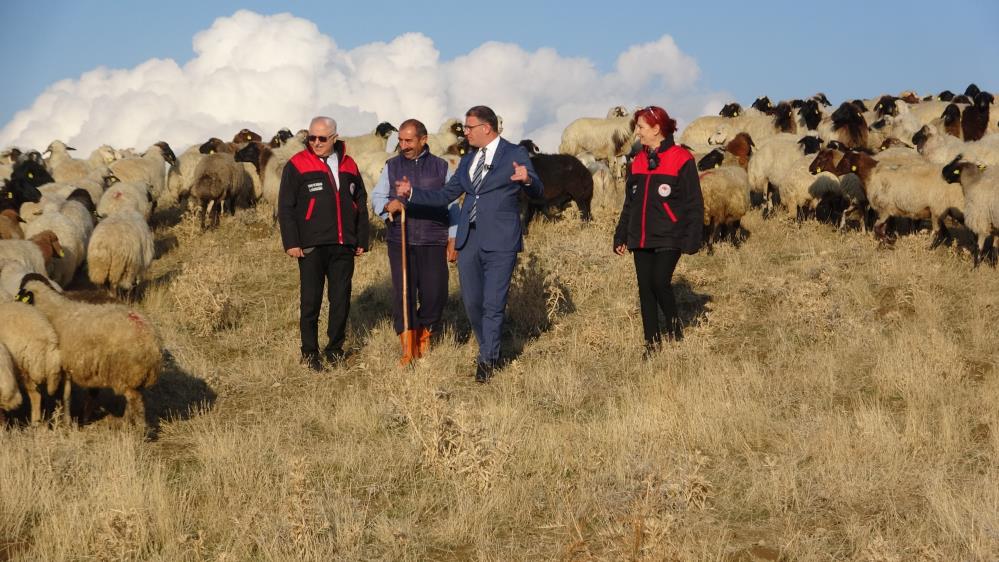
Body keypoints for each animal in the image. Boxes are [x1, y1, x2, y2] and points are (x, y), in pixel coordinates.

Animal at [15, 272, 162, 424]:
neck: (51, 308)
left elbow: (66, 395)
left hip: (127, 373)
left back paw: (134, 427)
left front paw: (66, 421)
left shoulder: (63, 366)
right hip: (138, 378)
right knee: (133, 400)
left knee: (136, 402)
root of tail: (153, 342)